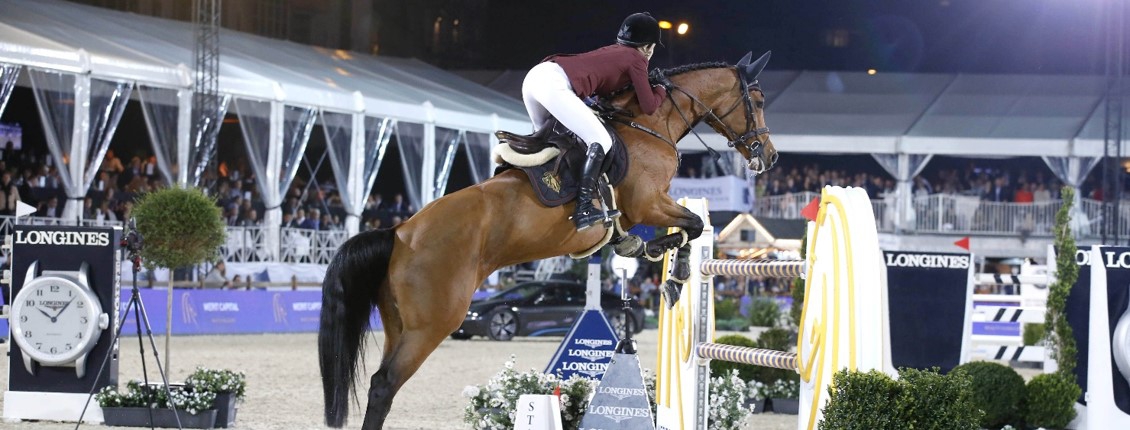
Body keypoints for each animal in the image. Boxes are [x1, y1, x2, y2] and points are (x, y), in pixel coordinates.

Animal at [318, 49, 777, 426]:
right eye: (757, 102)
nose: (769, 157)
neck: (649, 124)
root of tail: (399, 233)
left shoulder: (646, 208)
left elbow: (682, 229)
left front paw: (646, 254)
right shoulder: (648, 203)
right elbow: (692, 226)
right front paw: (673, 275)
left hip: (398, 324)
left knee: (382, 383)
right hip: (431, 323)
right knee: (384, 385)